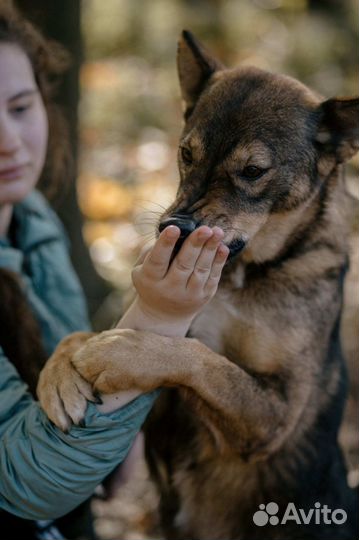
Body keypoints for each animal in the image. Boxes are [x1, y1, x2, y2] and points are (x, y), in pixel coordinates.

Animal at [37, 31, 359, 536]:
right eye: (187, 154)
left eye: (252, 171)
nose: (173, 227)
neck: (243, 276)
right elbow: (81, 334)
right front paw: (58, 378)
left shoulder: (276, 415)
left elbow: (200, 358)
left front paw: (119, 354)